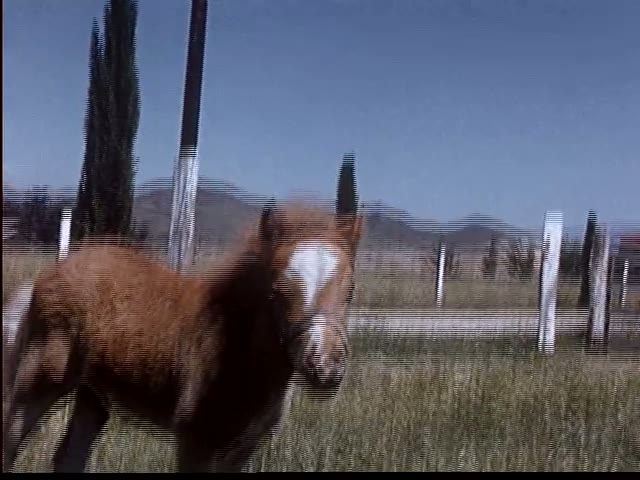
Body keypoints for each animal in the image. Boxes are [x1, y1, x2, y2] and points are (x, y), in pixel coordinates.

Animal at [2, 197, 364, 472]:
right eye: (276, 292)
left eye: (350, 291)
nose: (325, 364)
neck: (237, 346)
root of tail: (50, 272)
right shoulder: (196, 439)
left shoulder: (243, 448)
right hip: (38, 379)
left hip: (93, 394)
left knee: (69, 456)